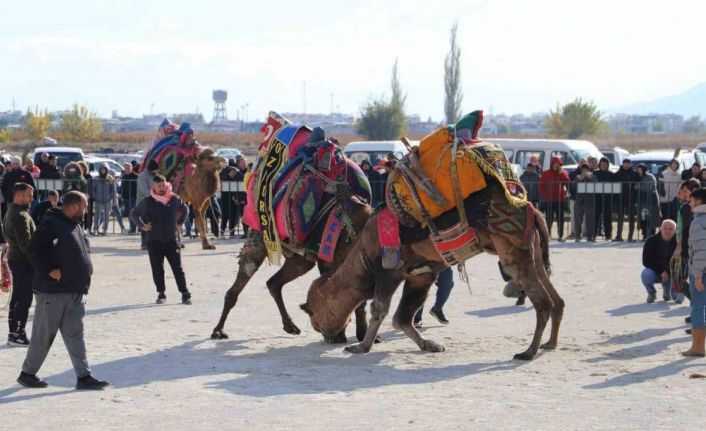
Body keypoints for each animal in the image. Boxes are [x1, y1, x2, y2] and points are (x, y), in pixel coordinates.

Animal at [300, 182, 564, 362]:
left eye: (314, 316)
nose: (325, 334)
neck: (363, 252)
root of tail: (532, 209)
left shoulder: (388, 272)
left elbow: (380, 310)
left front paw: (360, 347)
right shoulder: (420, 275)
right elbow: (402, 317)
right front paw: (430, 345)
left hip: (513, 251)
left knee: (543, 301)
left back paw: (528, 352)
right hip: (534, 252)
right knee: (556, 298)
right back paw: (549, 344)